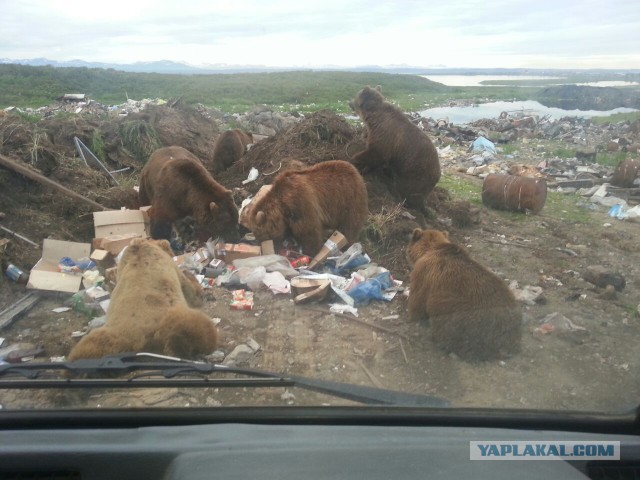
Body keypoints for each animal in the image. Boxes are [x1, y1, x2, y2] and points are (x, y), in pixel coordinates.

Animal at [68, 238, 218, 362]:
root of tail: (142, 340)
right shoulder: (171, 267)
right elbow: (190, 292)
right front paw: (193, 279)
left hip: (112, 335)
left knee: (91, 346)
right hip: (168, 318)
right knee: (196, 325)